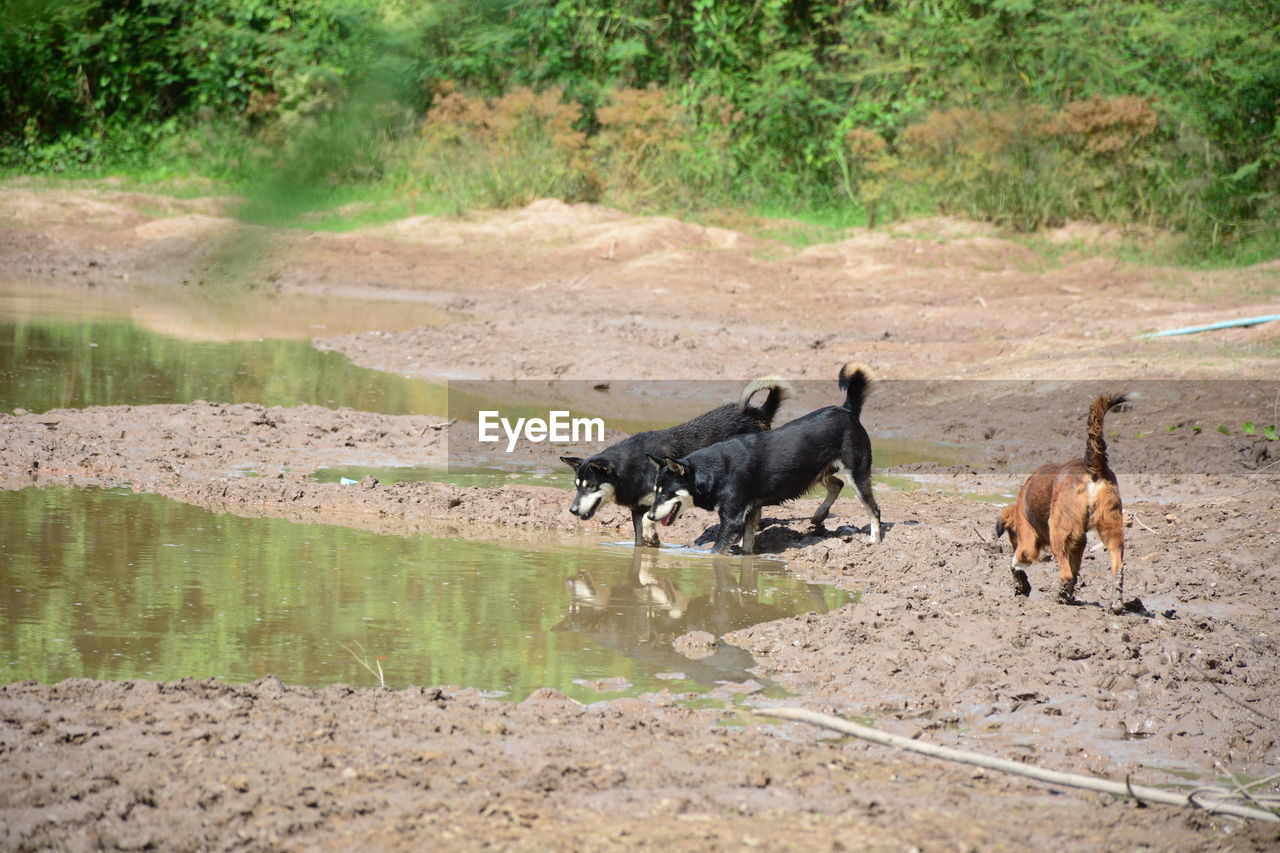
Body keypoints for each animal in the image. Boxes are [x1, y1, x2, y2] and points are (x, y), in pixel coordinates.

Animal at [563, 376, 788, 545]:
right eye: (577, 486)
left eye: (591, 486)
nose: (572, 510)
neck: (631, 468)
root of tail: (759, 412)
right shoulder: (637, 509)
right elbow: (639, 540)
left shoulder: (661, 499)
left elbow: (649, 520)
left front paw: (652, 535)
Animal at [650, 361, 880, 555]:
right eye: (655, 492)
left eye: (667, 493)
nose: (650, 516)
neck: (711, 472)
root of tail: (847, 409)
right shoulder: (751, 510)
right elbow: (747, 544)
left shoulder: (732, 519)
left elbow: (716, 552)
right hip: (818, 472)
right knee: (837, 484)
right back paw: (818, 515)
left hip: (856, 474)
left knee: (874, 509)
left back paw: (875, 540)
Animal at [998, 391, 1131, 612]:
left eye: (1012, 536)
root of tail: (1093, 468)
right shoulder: (1079, 541)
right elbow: (1076, 568)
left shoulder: (1028, 541)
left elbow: (1016, 562)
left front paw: (1021, 584)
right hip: (1111, 527)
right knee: (1117, 569)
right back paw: (1115, 603)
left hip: (1058, 532)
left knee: (1066, 572)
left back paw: (1058, 597)